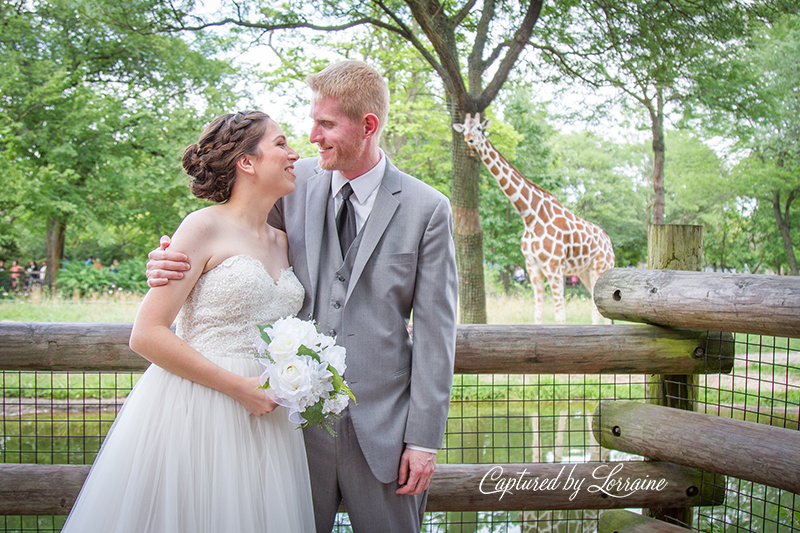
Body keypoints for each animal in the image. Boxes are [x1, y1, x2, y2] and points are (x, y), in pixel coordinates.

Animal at [454, 111, 616, 324]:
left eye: (480, 128)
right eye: (464, 128)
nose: (469, 140)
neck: (531, 216)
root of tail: (609, 243)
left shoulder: (553, 266)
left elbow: (560, 317)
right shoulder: (533, 268)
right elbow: (538, 315)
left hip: (601, 267)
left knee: (600, 313)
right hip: (584, 272)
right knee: (598, 309)